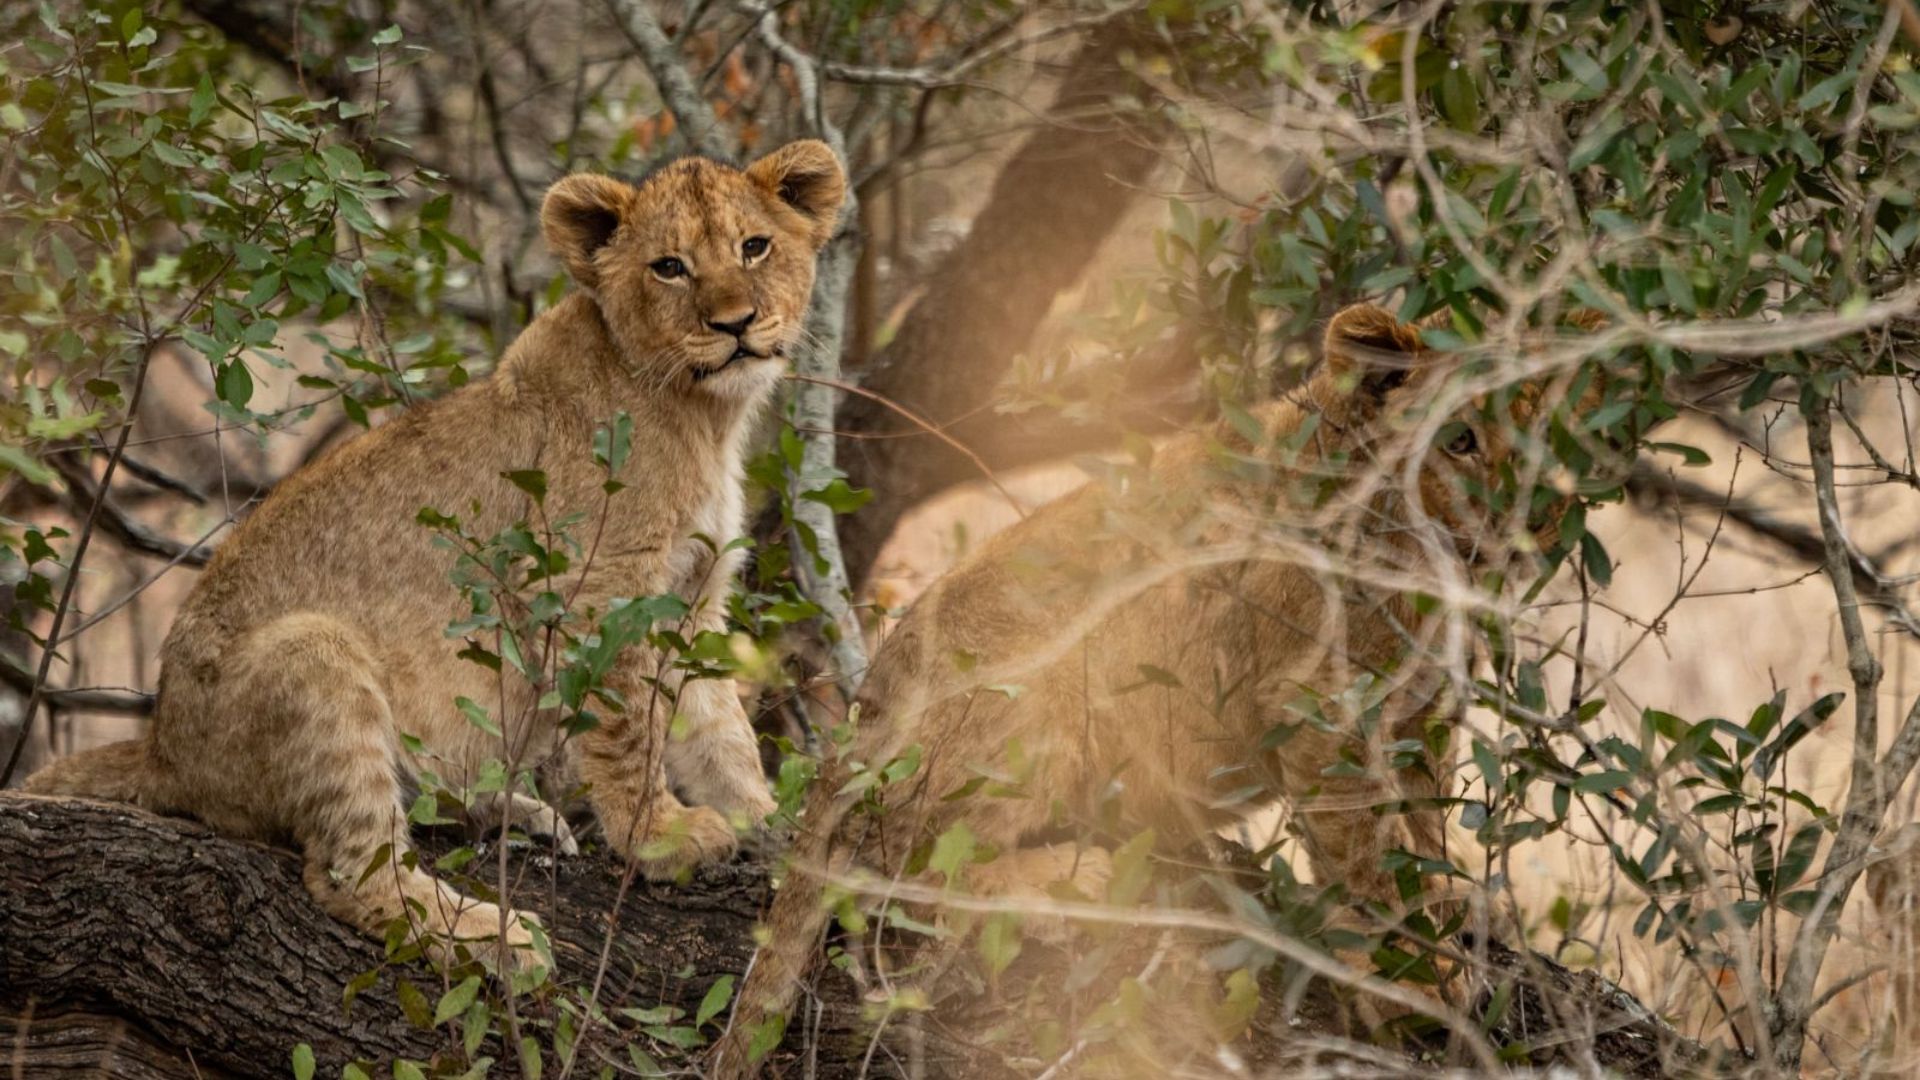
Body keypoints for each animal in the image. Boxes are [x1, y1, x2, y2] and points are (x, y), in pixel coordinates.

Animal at [24, 139, 847, 965]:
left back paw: (515, 815)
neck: (704, 415)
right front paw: (658, 838)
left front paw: (781, 831)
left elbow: (718, 728)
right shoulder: (594, 588)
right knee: (354, 876)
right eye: (669, 267)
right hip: (313, 651)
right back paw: (501, 938)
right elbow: (627, 728)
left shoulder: (690, 599)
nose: (736, 322)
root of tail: (163, 749)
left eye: (755, 246)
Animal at [709, 303, 1610, 1074]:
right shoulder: (1319, 708)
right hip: (1039, 684)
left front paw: (1455, 928)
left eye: (1547, 436)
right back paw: (1080, 880)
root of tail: (859, 725)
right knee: (903, 878)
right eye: (1460, 440)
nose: (1527, 522)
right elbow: (1368, 863)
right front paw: (1410, 991)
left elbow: (1419, 837)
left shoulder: (1418, 714)